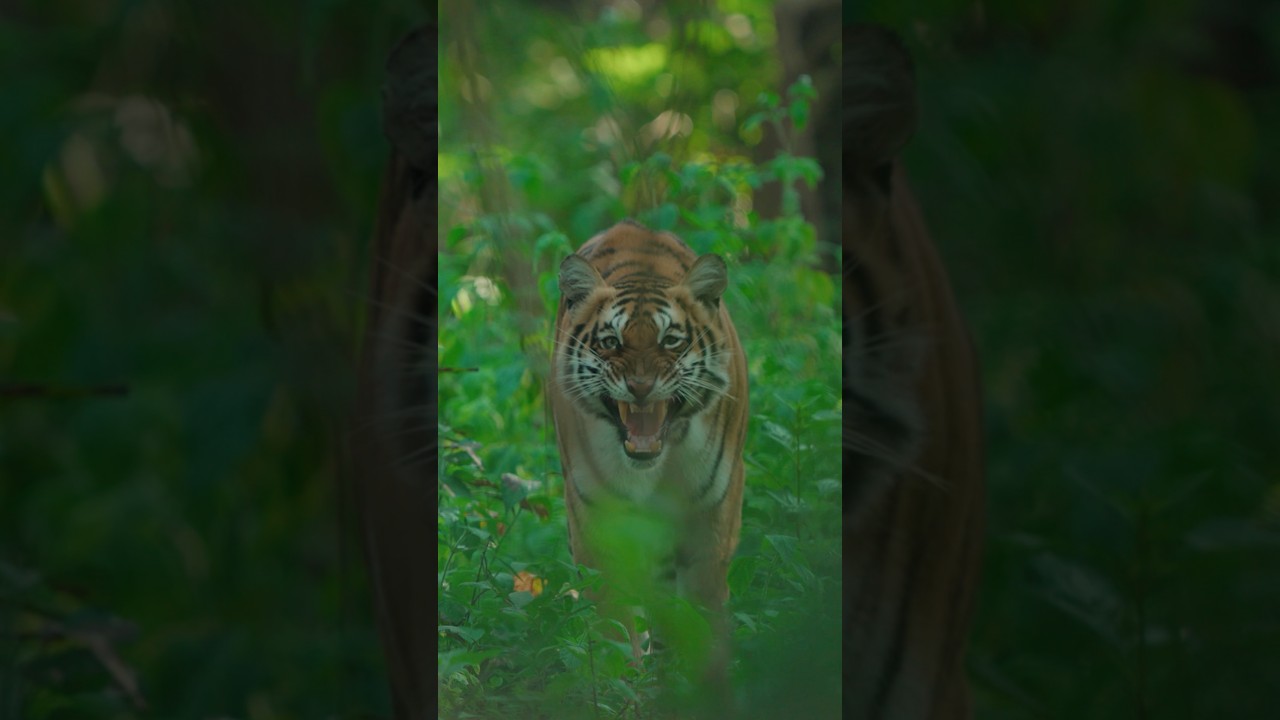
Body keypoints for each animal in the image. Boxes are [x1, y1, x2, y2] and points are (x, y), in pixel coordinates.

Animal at [548, 220, 749, 689]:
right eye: (611, 341)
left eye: (670, 341)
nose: (640, 387)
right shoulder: (598, 520)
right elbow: (613, 625)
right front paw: (617, 688)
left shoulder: (710, 515)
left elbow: (701, 614)